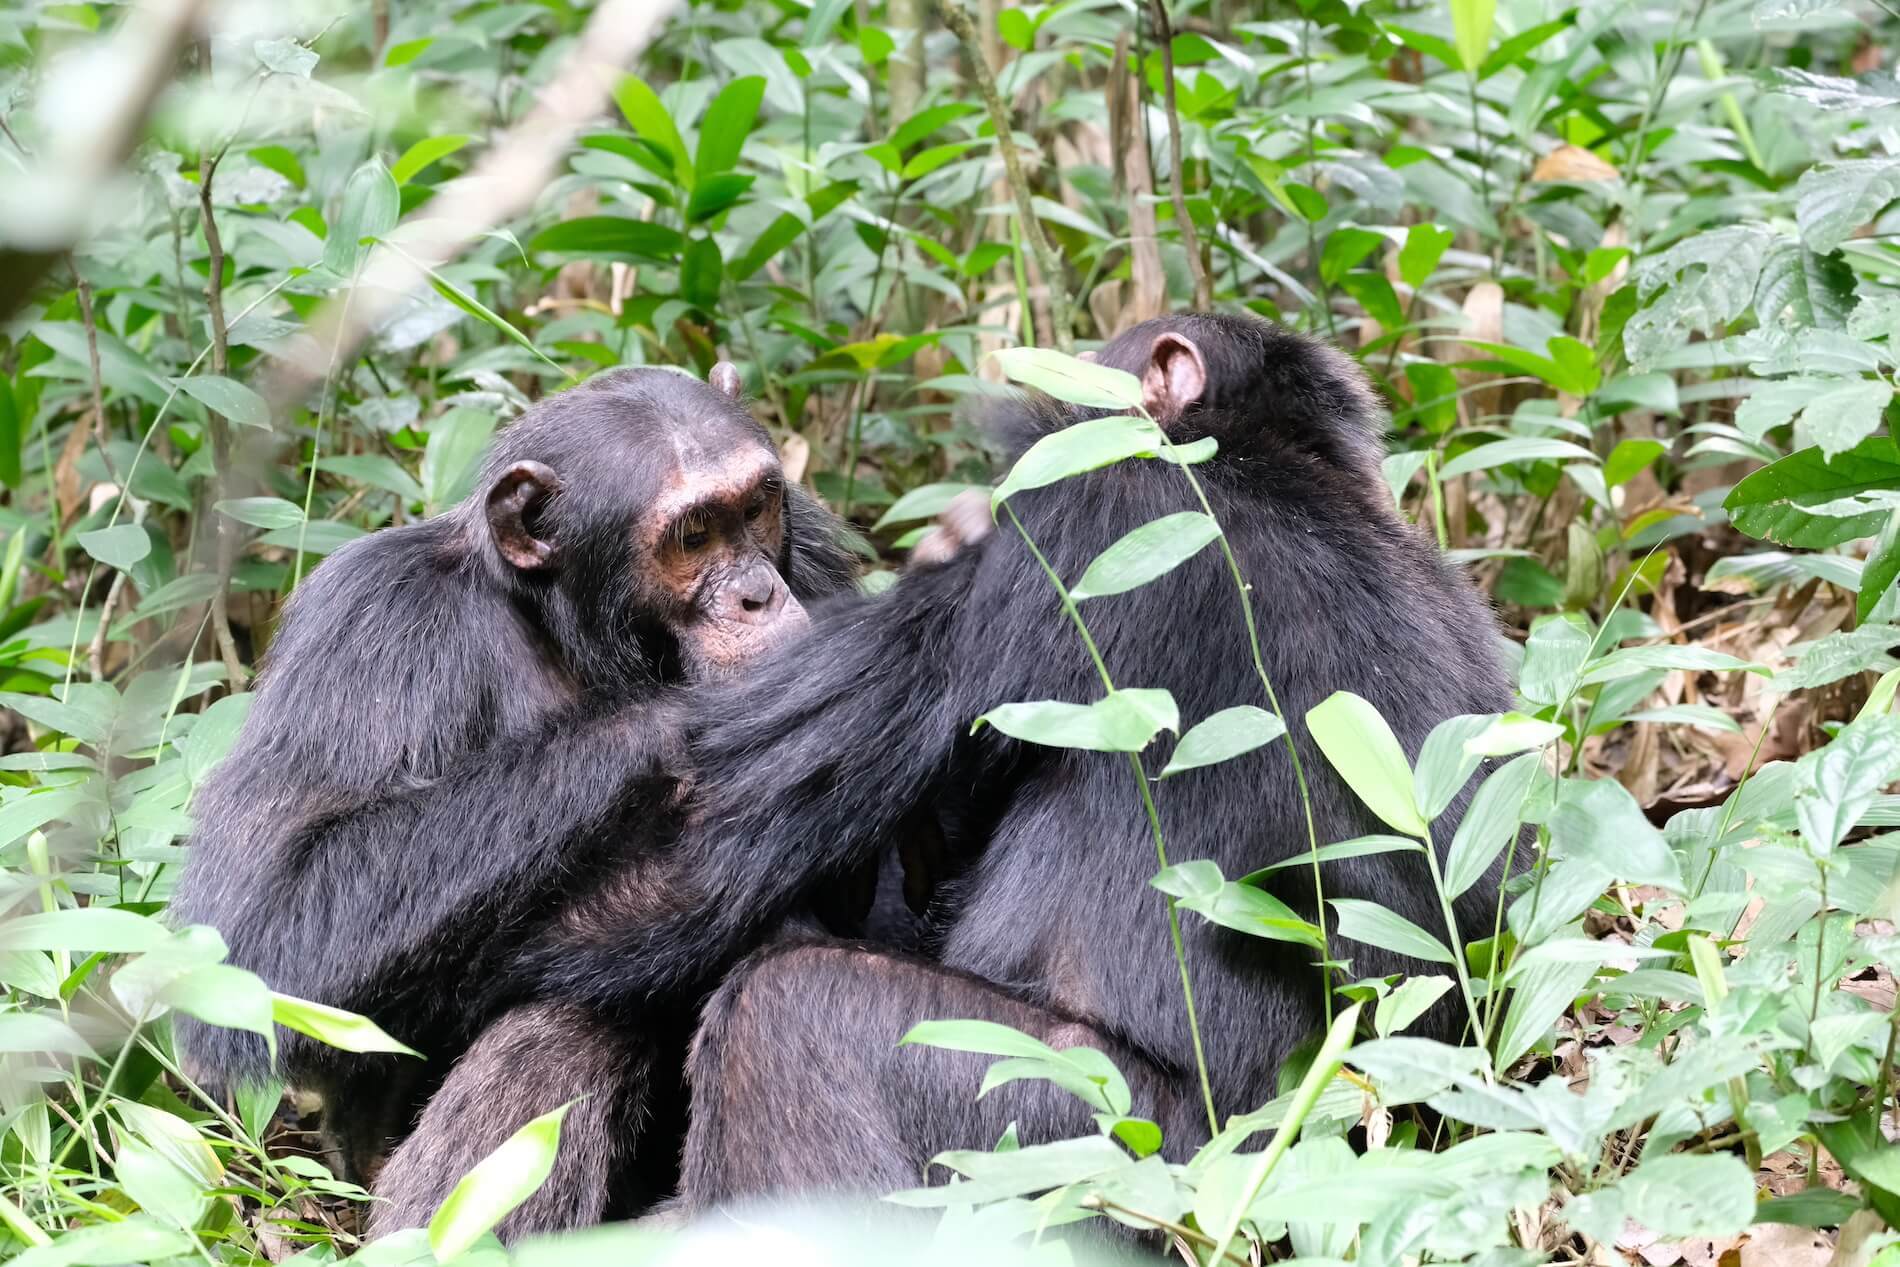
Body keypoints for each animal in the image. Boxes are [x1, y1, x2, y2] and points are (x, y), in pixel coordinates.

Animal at [169, 364, 870, 1238]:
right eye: (694, 536)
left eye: (756, 508)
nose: (756, 593)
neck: (565, 627)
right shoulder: (367, 621)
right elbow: (264, 932)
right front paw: (710, 708)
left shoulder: (812, 553)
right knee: (563, 1019)